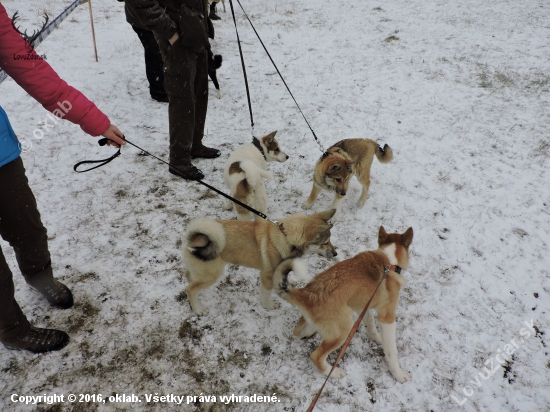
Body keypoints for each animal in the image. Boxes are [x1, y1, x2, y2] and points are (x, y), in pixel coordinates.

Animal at [183, 209, 338, 316]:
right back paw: (198, 309)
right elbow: (265, 294)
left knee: (189, 277)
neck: (286, 238)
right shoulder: (266, 276)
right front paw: (268, 306)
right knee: (190, 289)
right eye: (325, 243)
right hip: (212, 274)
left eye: (329, 240)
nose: (335, 253)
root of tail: (193, 237)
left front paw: (290, 281)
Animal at [274, 227, 414, 382]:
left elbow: (370, 323)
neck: (389, 262)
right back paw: (334, 372)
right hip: (344, 329)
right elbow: (391, 350)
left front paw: (376, 338)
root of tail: (307, 293)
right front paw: (398, 374)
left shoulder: (362, 305)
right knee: (316, 356)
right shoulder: (387, 317)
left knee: (299, 332)